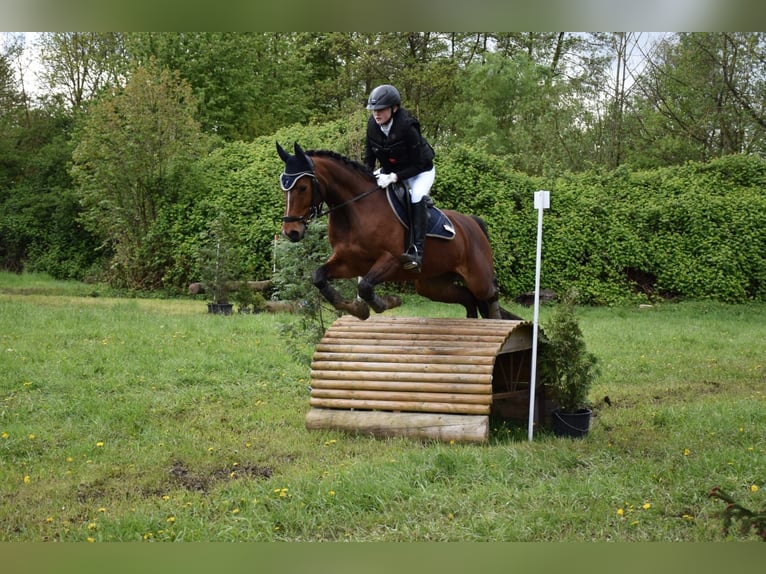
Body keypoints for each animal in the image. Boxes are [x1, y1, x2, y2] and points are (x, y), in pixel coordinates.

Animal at [277, 141, 521, 321]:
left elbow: (365, 286)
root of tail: (472, 222)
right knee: (469, 299)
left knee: (489, 297)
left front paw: (383, 303)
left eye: (303, 187)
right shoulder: (349, 262)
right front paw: (357, 309)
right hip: (433, 284)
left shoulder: (392, 259)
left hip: (478, 277)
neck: (355, 209)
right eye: (284, 188)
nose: (291, 231)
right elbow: (319, 277)